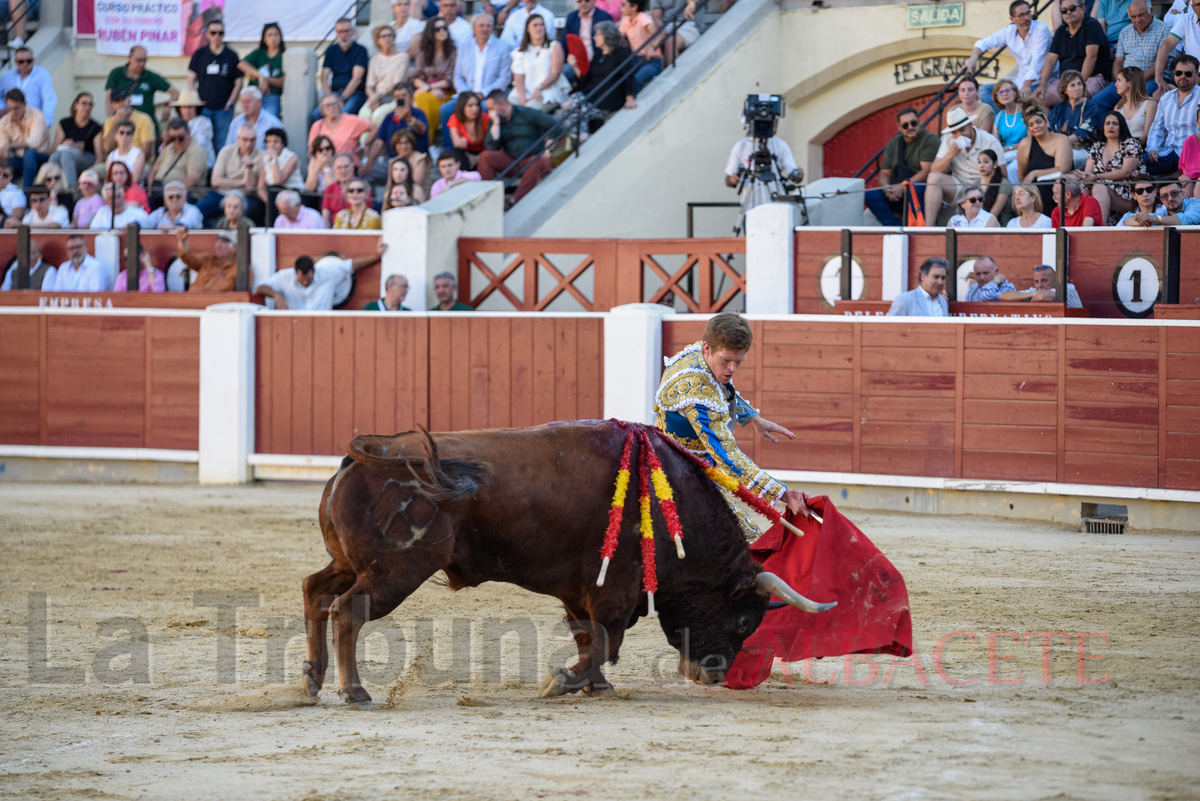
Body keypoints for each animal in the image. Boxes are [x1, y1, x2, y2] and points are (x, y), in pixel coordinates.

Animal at [300, 419, 830, 705]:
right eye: (743, 620)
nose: (713, 675)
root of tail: (366, 455)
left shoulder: (580, 590)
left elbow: (587, 636)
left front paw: (595, 686)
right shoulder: (615, 589)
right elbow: (605, 639)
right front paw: (565, 681)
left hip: (353, 564)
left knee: (315, 590)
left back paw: (312, 678)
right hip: (395, 572)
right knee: (347, 611)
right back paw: (354, 692)